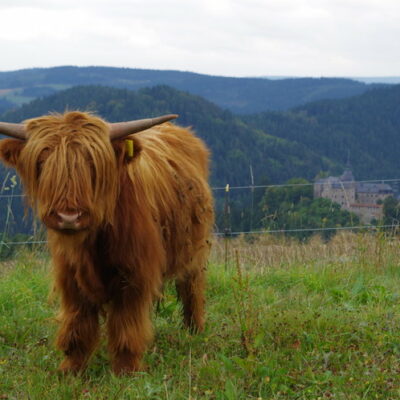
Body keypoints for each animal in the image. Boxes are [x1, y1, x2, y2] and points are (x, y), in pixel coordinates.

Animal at [0, 111, 214, 376]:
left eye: (92, 163)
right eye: (42, 162)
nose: (68, 216)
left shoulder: (135, 274)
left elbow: (127, 323)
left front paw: (126, 369)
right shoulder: (69, 275)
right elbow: (77, 322)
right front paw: (71, 369)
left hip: (196, 250)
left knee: (192, 289)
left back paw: (194, 330)